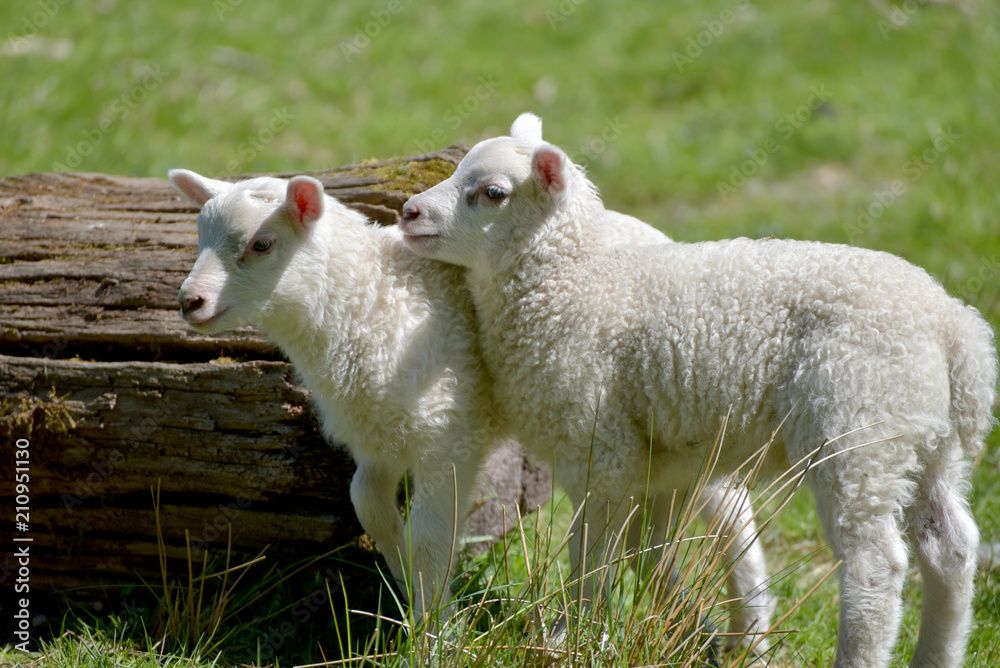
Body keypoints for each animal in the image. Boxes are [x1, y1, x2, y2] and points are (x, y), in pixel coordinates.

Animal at [398, 113, 997, 667]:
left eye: (492, 193)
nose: (409, 212)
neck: (577, 280)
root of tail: (954, 327)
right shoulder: (657, 462)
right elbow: (647, 554)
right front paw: (685, 629)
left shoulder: (600, 447)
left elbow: (592, 556)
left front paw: (573, 636)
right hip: (926, 441)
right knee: (951, 549)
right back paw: (939, 651)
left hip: (861, 431)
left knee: (876, 567)